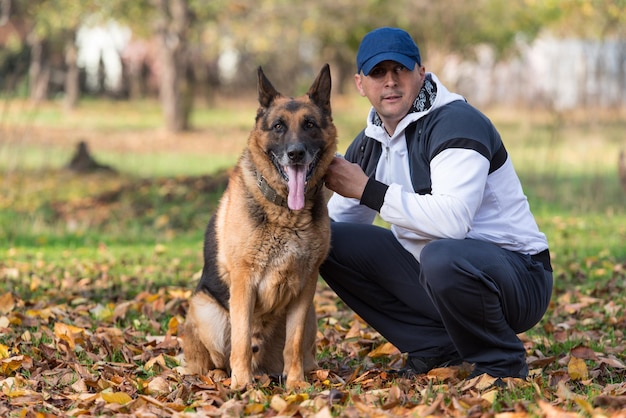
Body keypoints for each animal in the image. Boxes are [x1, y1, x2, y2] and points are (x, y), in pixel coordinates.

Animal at [182, 63, 336, 390]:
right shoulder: (244, 282)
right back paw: (224, 376)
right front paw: (242, 385)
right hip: (206, 311)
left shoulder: (306, 287)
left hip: (312, 315)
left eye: (310, 125)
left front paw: (296, 385)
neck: (286, 213)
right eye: (278, 126)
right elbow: (240, 341)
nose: (296, 154)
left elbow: (293, 343)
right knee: (213, 360)